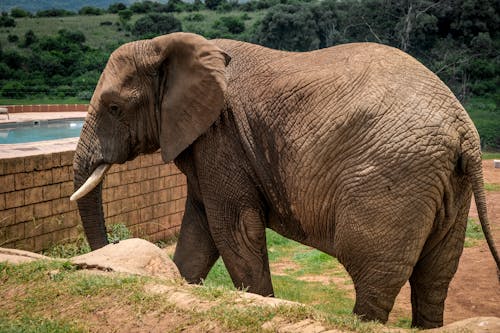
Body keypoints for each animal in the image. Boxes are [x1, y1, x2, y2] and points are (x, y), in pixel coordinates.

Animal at [71, 31, 500, 326]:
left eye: (114, 107)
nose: (104, 259)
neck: (170, 47)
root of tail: (465, 129)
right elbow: (199, 229)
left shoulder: (221, 136)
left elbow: (233, 229)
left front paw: (261, 303)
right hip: (448, 185)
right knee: (435, 276)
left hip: (393, 177)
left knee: (374, 277)